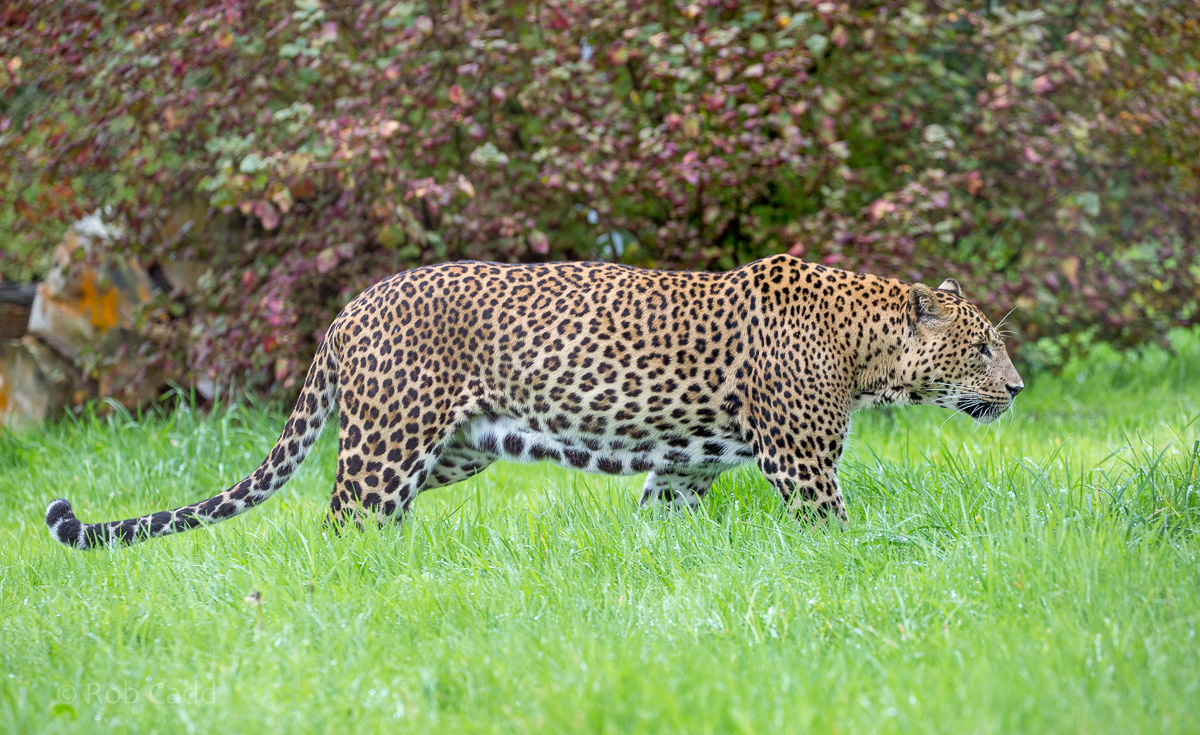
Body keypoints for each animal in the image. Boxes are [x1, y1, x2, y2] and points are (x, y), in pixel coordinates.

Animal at [45, 254, 1023, 549]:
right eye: (983, 345)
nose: (1016, 387)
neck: (865, 348)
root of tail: (348, 310)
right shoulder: (802, 463)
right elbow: (836, 533)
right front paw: (862, 562)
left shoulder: (684, 471)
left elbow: (660, 521)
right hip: (388, 442)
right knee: (342, 518)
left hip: (452, 450)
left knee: (371, 516)